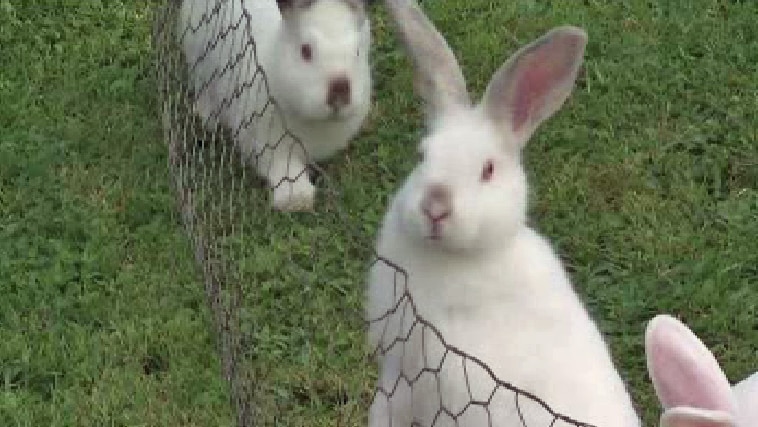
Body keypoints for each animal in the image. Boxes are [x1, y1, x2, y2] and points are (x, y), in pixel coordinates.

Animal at [175, 0, 372, 211]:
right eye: (306, 51)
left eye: (357, 52)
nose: (340, 93)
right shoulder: (265, 140)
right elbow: (284, 167)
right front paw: (296, 200)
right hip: (197, 56)